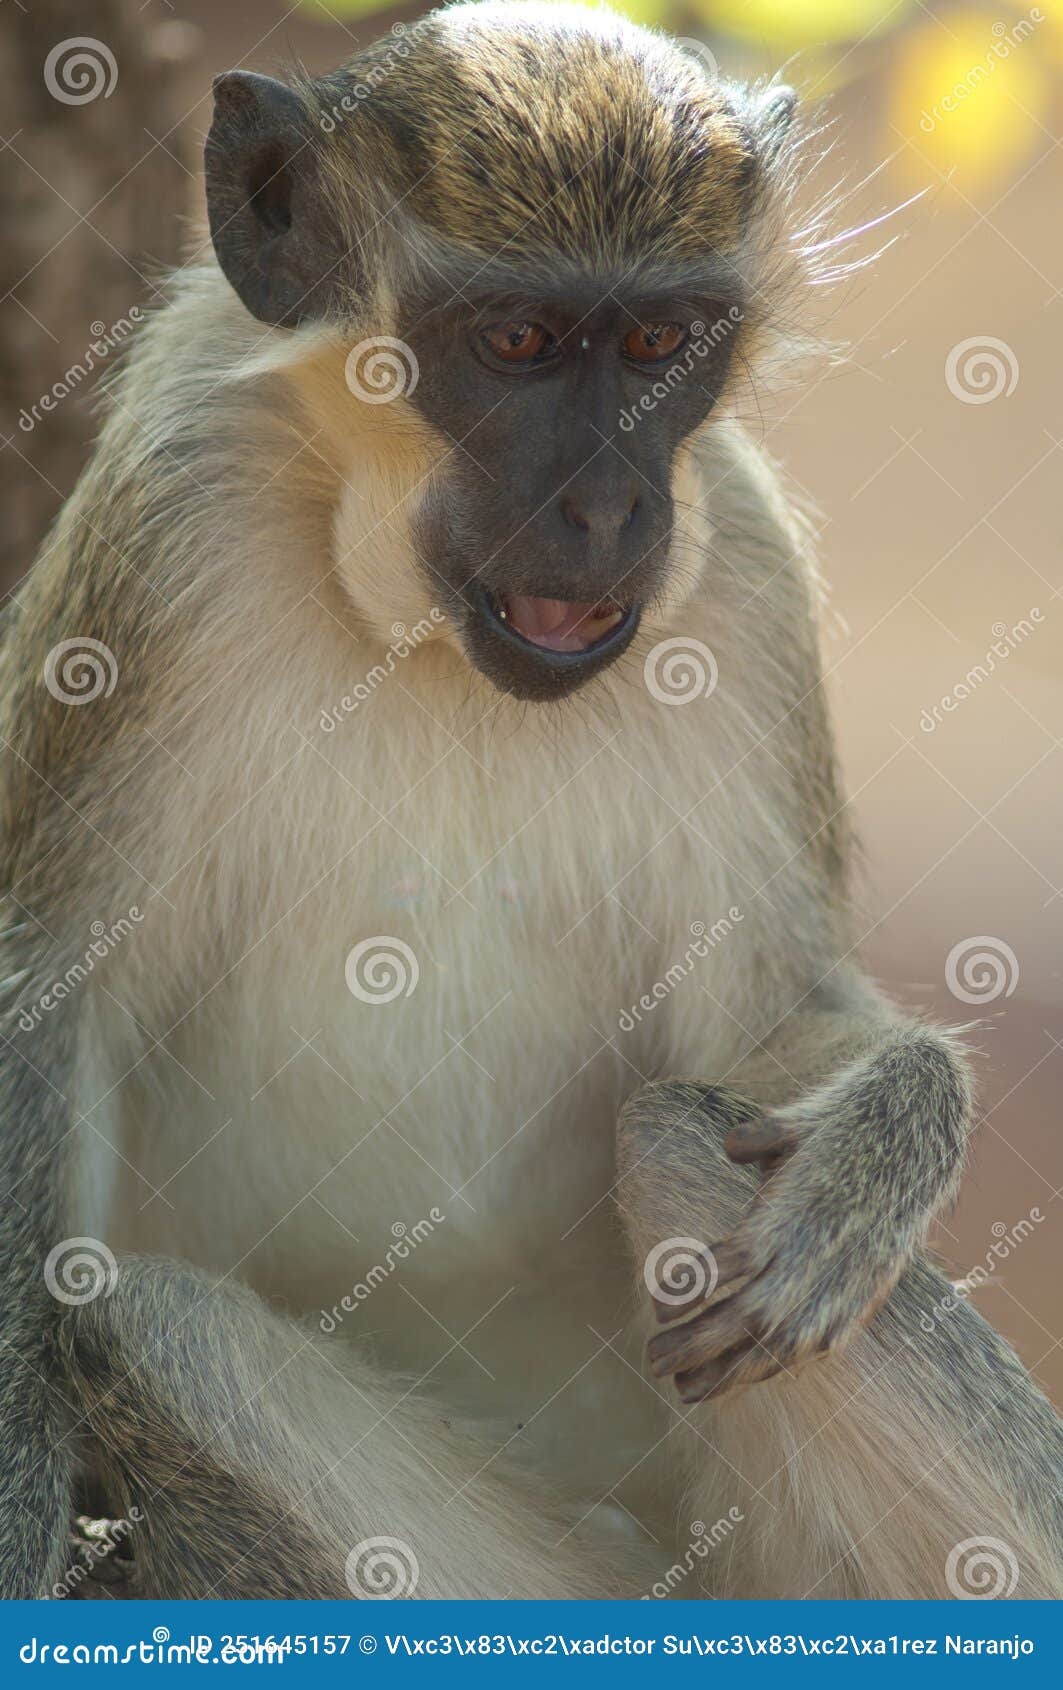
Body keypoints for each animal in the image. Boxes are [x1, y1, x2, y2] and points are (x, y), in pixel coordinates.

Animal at [2, 0, 1061, 1602]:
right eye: (512, 343)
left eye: (659, 343)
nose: (610, 510)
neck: (428, 643)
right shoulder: (166, 520)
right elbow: (41, 1012)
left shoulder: (741, 563)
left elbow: (768, 1013)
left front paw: (886, 1140)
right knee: (159, 1322)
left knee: (683, 1148)